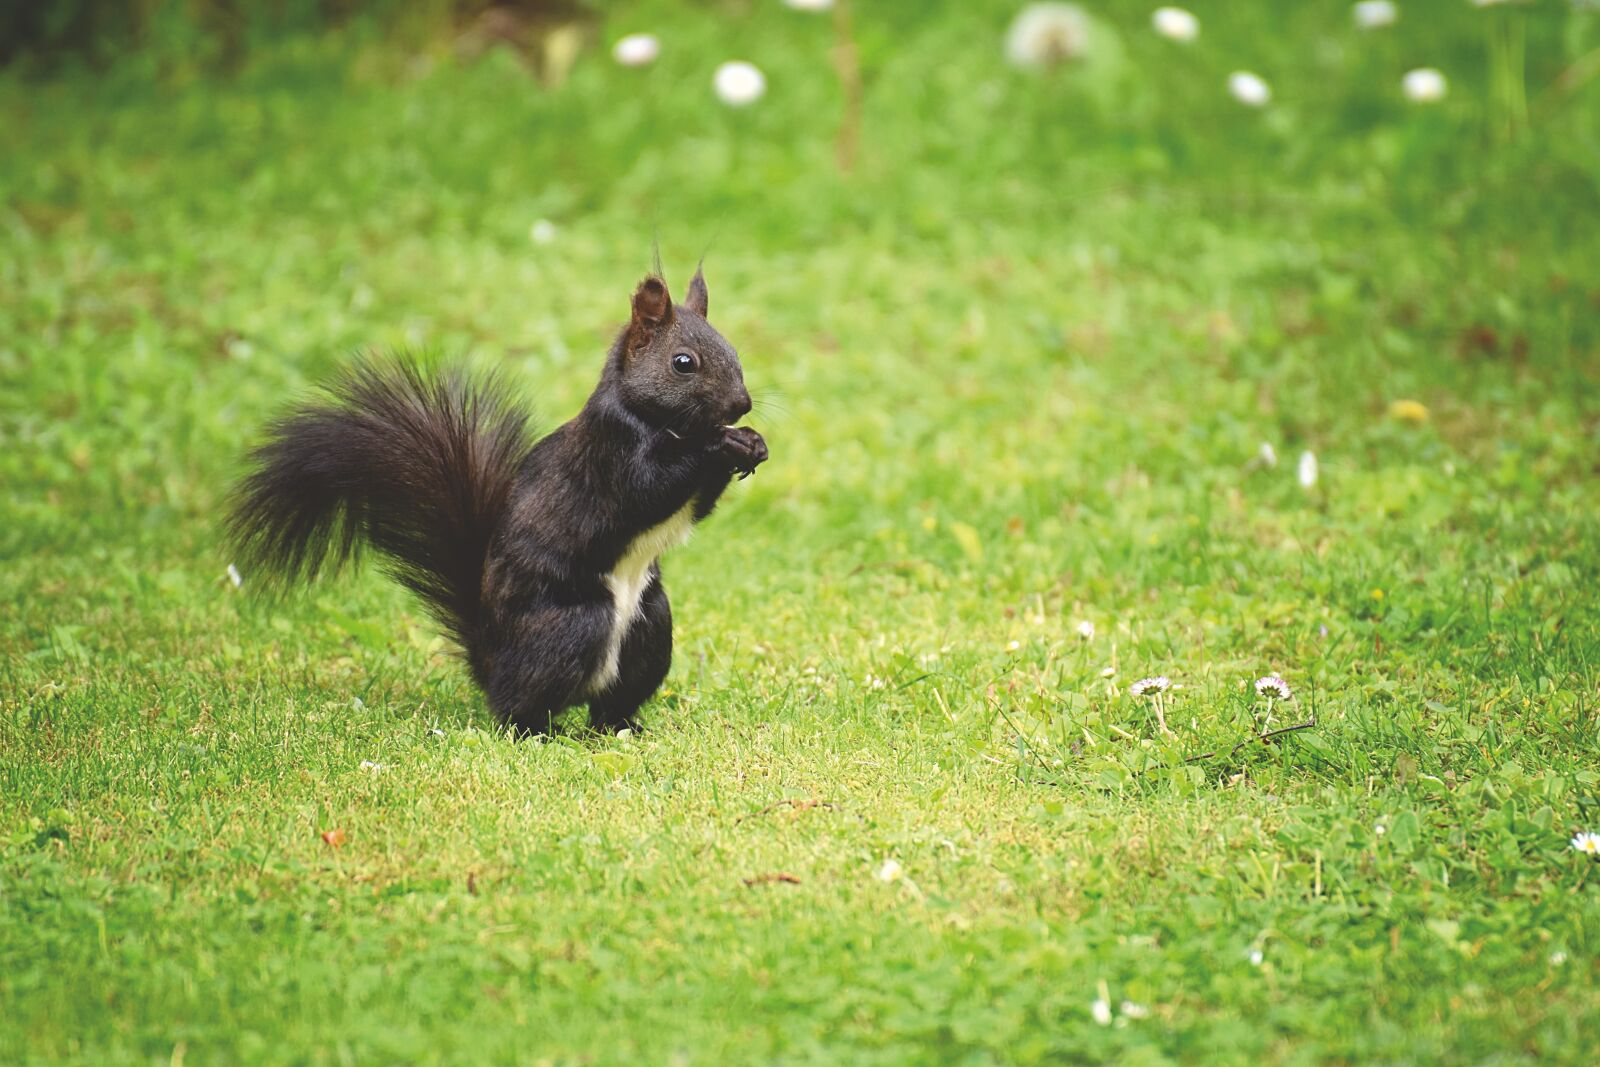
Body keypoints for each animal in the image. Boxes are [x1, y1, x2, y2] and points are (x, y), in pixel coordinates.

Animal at [227, 270, 768, 734]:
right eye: (683, 362)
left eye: (733, 349)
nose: (741, 405)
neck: (652, 418)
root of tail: (492, 663)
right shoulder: (609, 454)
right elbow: (651, 485)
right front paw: (719, 444)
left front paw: (752, 444)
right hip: (573, 624)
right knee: (519, 710)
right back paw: (541, 732)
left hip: (650, 628)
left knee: (608, 705)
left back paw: (623, 728)